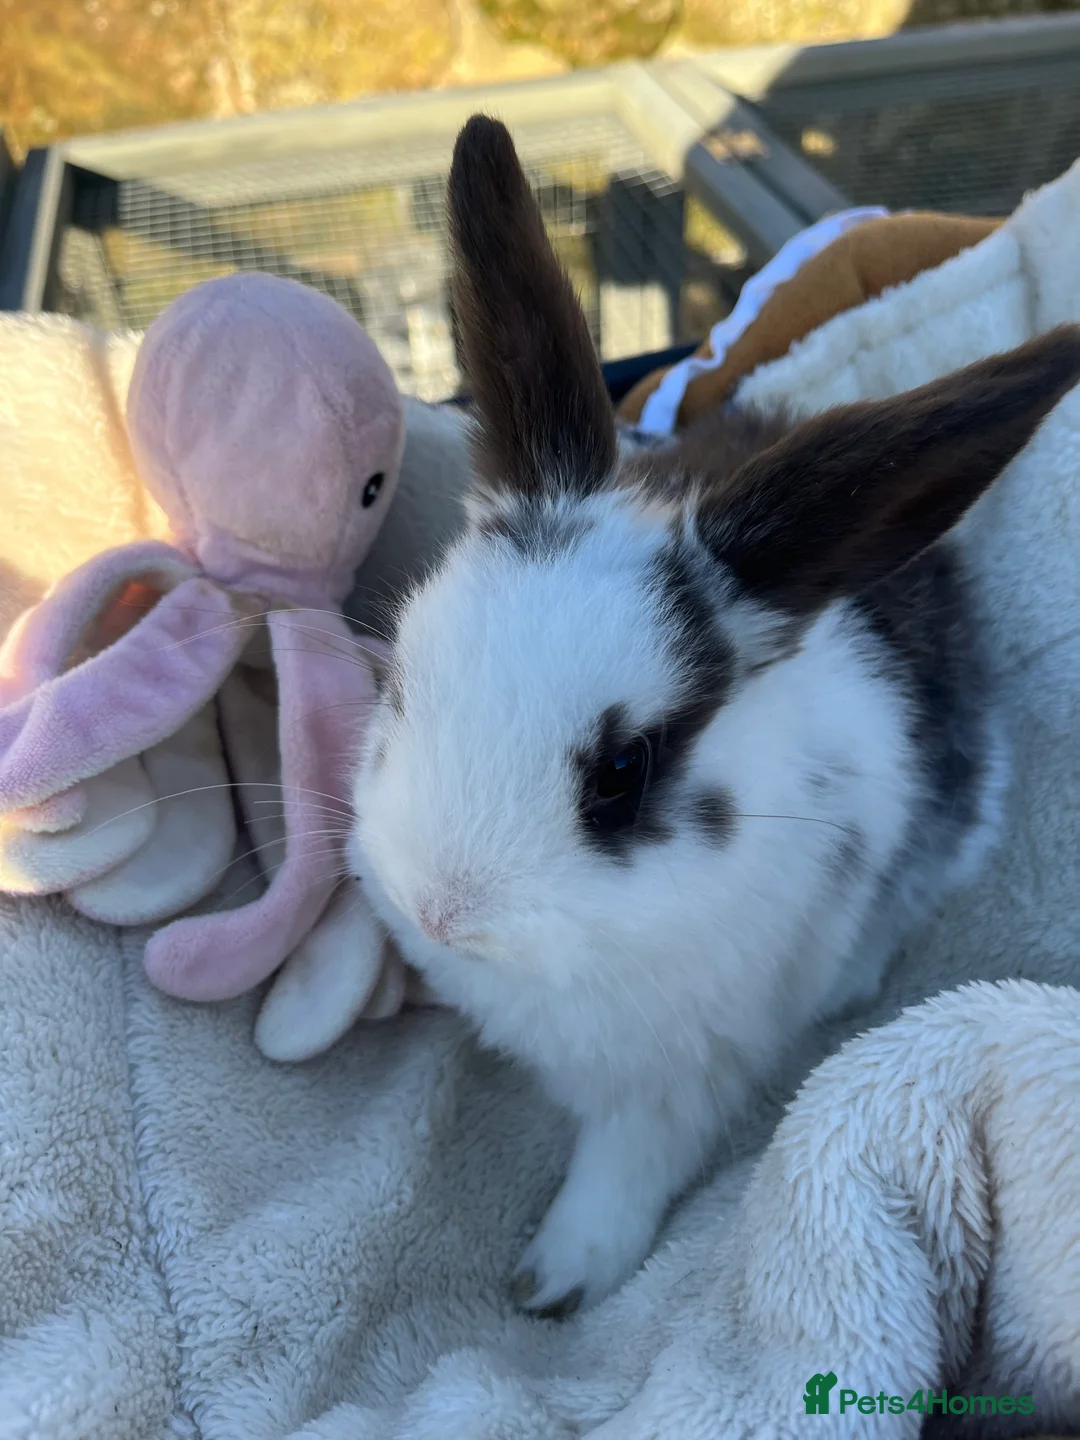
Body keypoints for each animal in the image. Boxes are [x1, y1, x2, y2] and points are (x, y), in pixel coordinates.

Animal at [349, 114, 1080, 1318]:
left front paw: (555, 1283)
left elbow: (625, 1168)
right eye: (403, 679)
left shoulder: (683, 1074)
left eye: (623, 773)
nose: (440, 912)